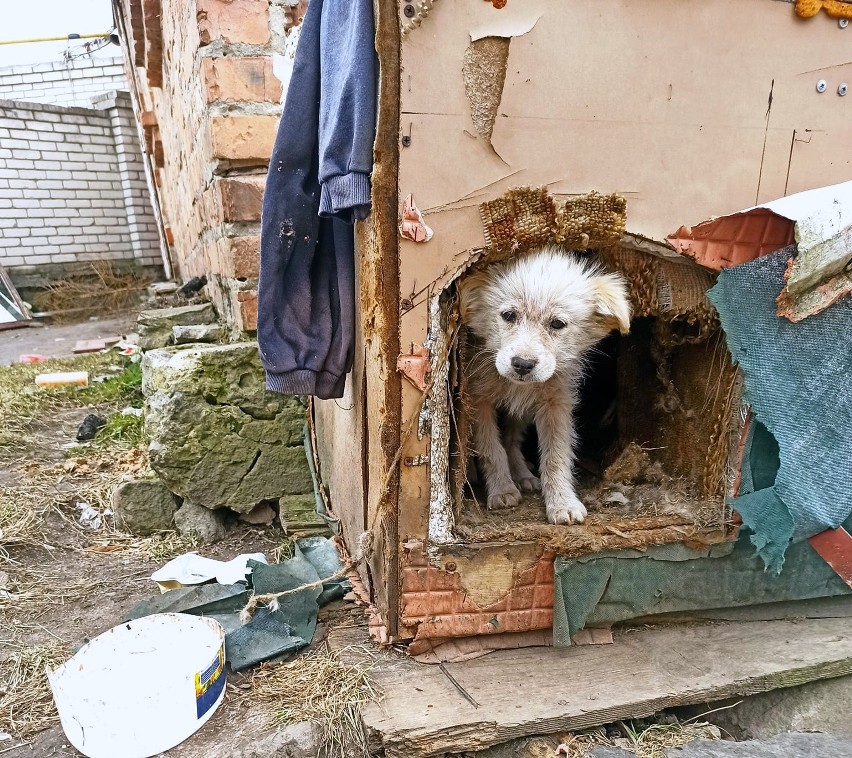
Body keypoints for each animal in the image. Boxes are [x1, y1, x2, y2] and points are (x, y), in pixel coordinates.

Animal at [460, 249, 632, 528]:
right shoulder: (478, 400)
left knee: (512, 439)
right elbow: (490, 448)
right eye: (508, 315)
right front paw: (502, 490)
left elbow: (556, 456)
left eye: (557, 324)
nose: (522, 364)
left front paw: (562, 502)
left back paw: (522, 474)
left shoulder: (555, 403)